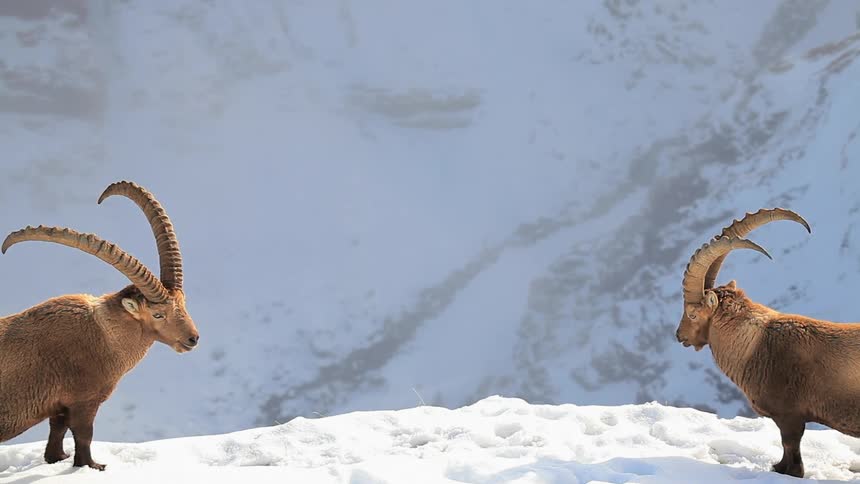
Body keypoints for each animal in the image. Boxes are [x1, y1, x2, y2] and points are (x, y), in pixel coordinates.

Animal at [0, 181, 199, 470]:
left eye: (183, 303)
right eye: (158, 314)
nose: (193, 338)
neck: (104, 336)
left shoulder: (59, 405)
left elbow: (57, 432)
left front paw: (58, 458)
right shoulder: (84, 399)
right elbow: (84, 434)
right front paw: (92, 466)